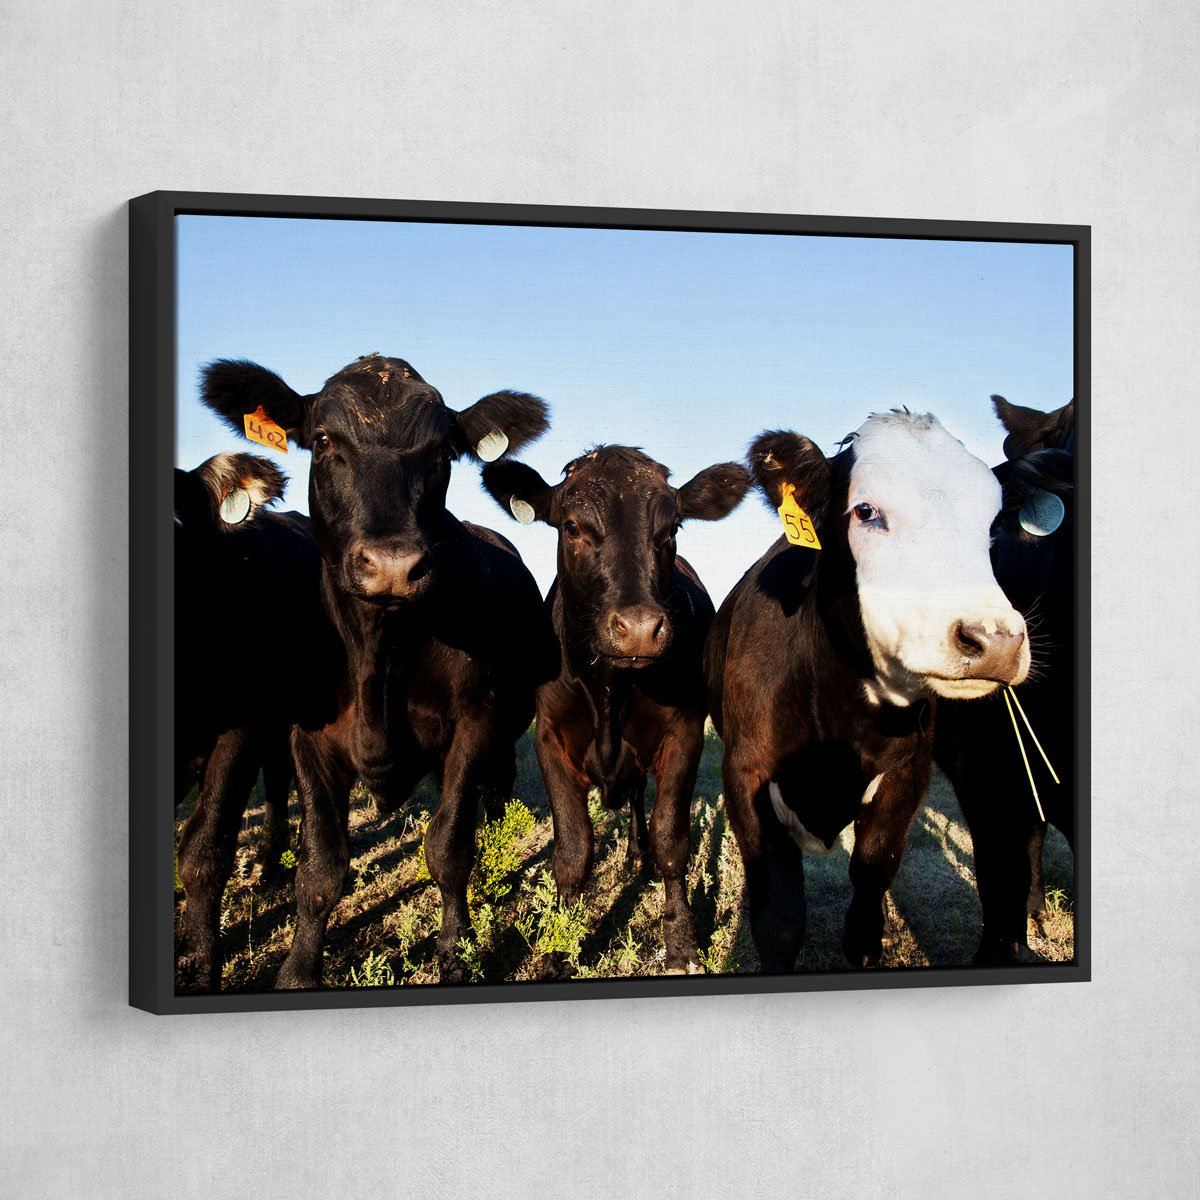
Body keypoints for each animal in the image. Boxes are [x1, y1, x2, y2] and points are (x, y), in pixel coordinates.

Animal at [200, 353, 551, 986]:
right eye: (322, 440)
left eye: (441, 453)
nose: (392, 565)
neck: (378, 657)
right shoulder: (307, 738)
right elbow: (320, 869)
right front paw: (298, 971)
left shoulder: (475, 725)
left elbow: (448, 847)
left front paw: (455, 949)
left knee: (495, 792)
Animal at [482, 446, 750, 973]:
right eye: (571, 525)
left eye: (671, 528)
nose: (640, 628)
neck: (610, 688)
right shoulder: (550, 741)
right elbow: (573, 849)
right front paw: (558, 947)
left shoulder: (684, 735)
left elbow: (671, 841)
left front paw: (681, 943)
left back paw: (635, 855)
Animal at [705, 411, 1031, 971]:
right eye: (865, 510)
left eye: (992, 526)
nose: (994, 640)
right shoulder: (745, 775)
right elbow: (778, 918)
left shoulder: (906, 777)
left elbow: (866, 910)